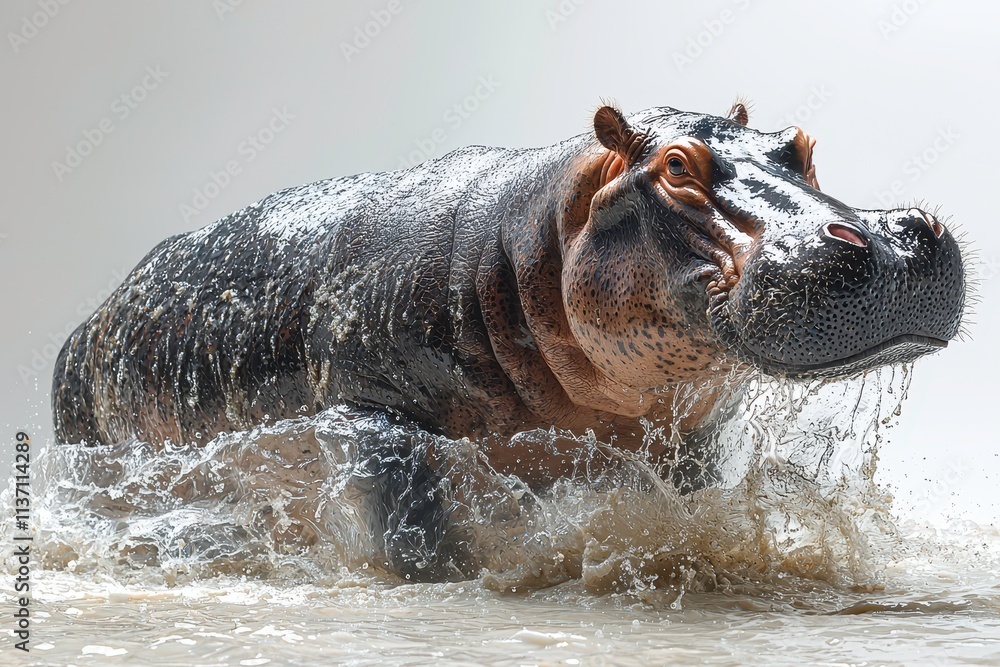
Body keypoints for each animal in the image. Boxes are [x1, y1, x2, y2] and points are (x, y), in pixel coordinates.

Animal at [52, 102, 966, 580]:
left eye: (801, 144)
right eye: (676, 165)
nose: (888, 238)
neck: (539, 233)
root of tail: (90, 318)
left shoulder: (684, 438)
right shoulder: (368, 416)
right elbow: (413, 529)